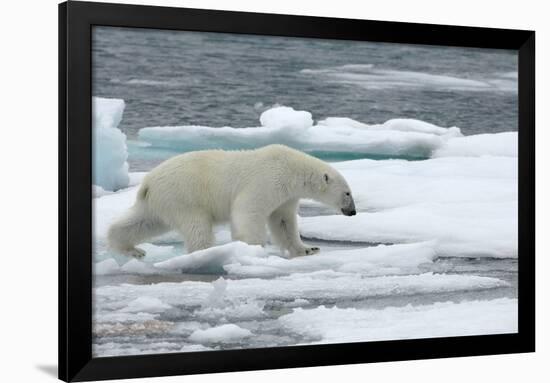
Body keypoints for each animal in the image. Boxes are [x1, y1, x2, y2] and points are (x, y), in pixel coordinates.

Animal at [108, 146, 358, 260]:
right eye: (347, 193)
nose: (353, 212)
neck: (292, 169)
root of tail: (148, 182)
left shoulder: (286, 196)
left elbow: (283, 222)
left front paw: (308, 249)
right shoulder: (268, 180)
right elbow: (248, 210)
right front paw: (253, 247)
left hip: (161, 201)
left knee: (143, 222)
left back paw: (131, 249)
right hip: (183, 196)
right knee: (197, 226)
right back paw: (205, 253)